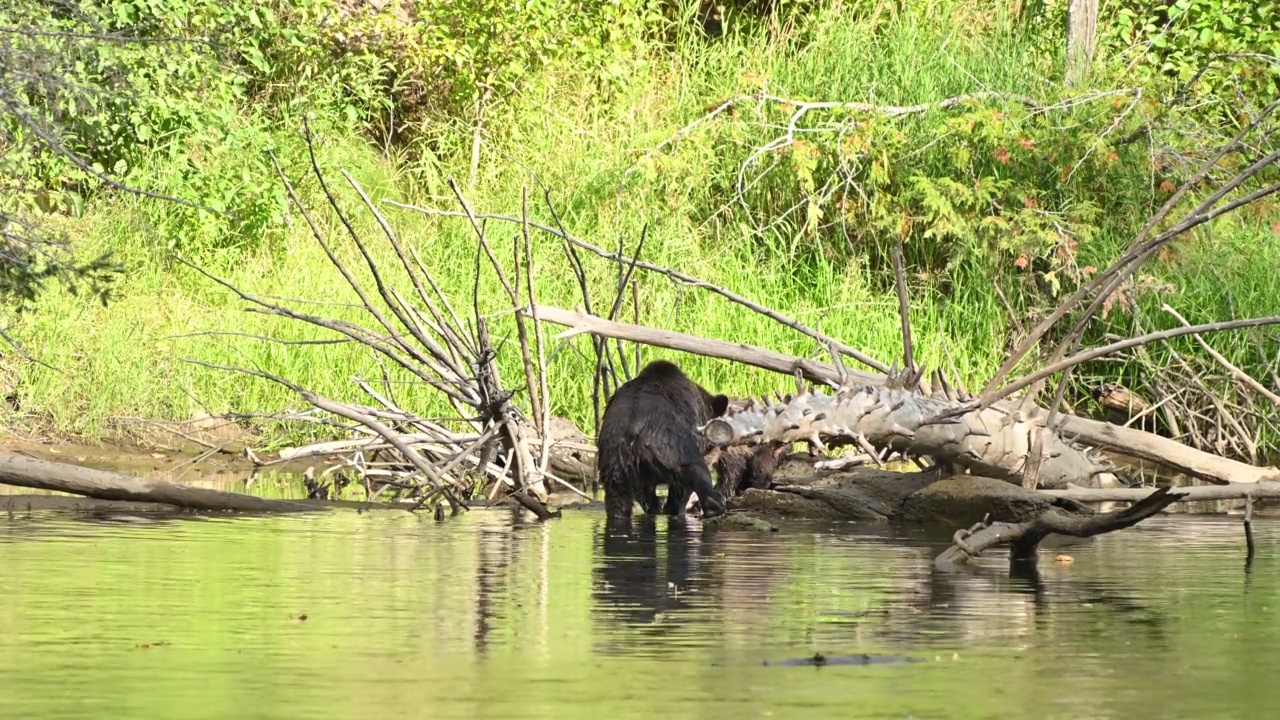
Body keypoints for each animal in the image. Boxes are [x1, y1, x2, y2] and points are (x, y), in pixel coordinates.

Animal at [596, 361, 732, 525]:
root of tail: (634, 429)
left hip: (614, 462)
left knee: (618, 498)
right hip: (673, 450)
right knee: (694, 474)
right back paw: (713, 507)